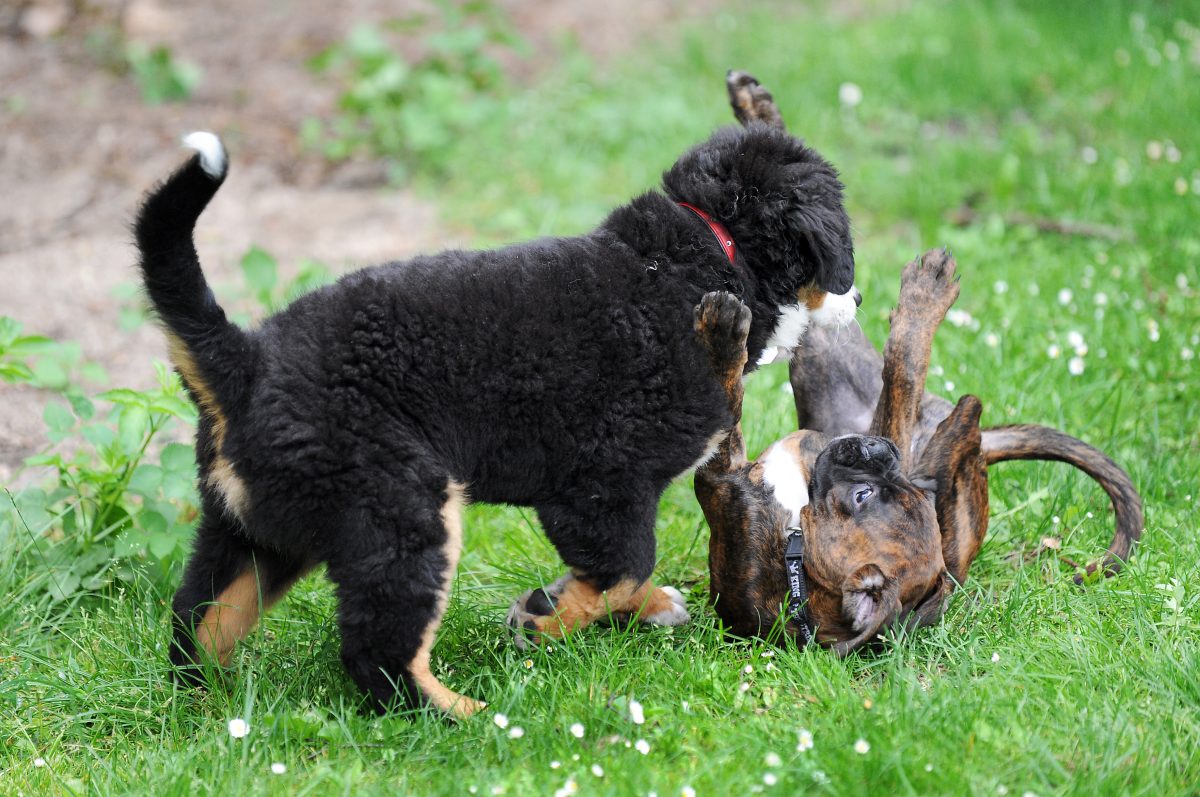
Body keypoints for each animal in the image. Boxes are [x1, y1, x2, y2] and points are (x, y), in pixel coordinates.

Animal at [136, 109, 859, 710]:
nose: (857, 298)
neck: (695, 256)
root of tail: (246, 362)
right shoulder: (603, 484)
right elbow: (623, 565)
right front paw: (545, 620)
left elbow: (624, 574)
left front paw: (641, 608)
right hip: (399, 512)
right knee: (378, 654)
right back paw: (468, 716)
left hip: (250, 528)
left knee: (198, 622)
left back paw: (211, 705)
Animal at [696, 73, 1142, 652]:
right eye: (880, 493)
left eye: (863, 496)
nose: (881, 454)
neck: (796, 567)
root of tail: (979, 450)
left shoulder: (724, 474)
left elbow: (728, 394)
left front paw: (724, 330)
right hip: (830, 372)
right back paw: (755, 105)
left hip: (855, 380)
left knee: (896, 365)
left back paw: (924, 294)